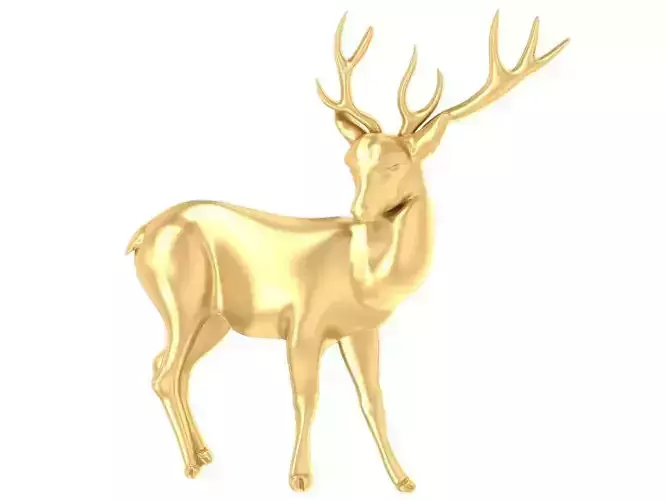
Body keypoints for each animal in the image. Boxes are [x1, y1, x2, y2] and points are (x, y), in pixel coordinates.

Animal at [125, 11, 568, 493]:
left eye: (395, 164)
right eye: (351, 160)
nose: (358, 211)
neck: (365, 276)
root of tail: (141, 234)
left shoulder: (361, 330)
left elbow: (373, 399)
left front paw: (403, 479)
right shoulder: (302, 324)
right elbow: (306, 398)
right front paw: (300, 478)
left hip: (215, 318)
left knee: (173, 368)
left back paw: (205, 453)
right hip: (180, 301)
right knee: (166, 372)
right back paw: (191, 464)